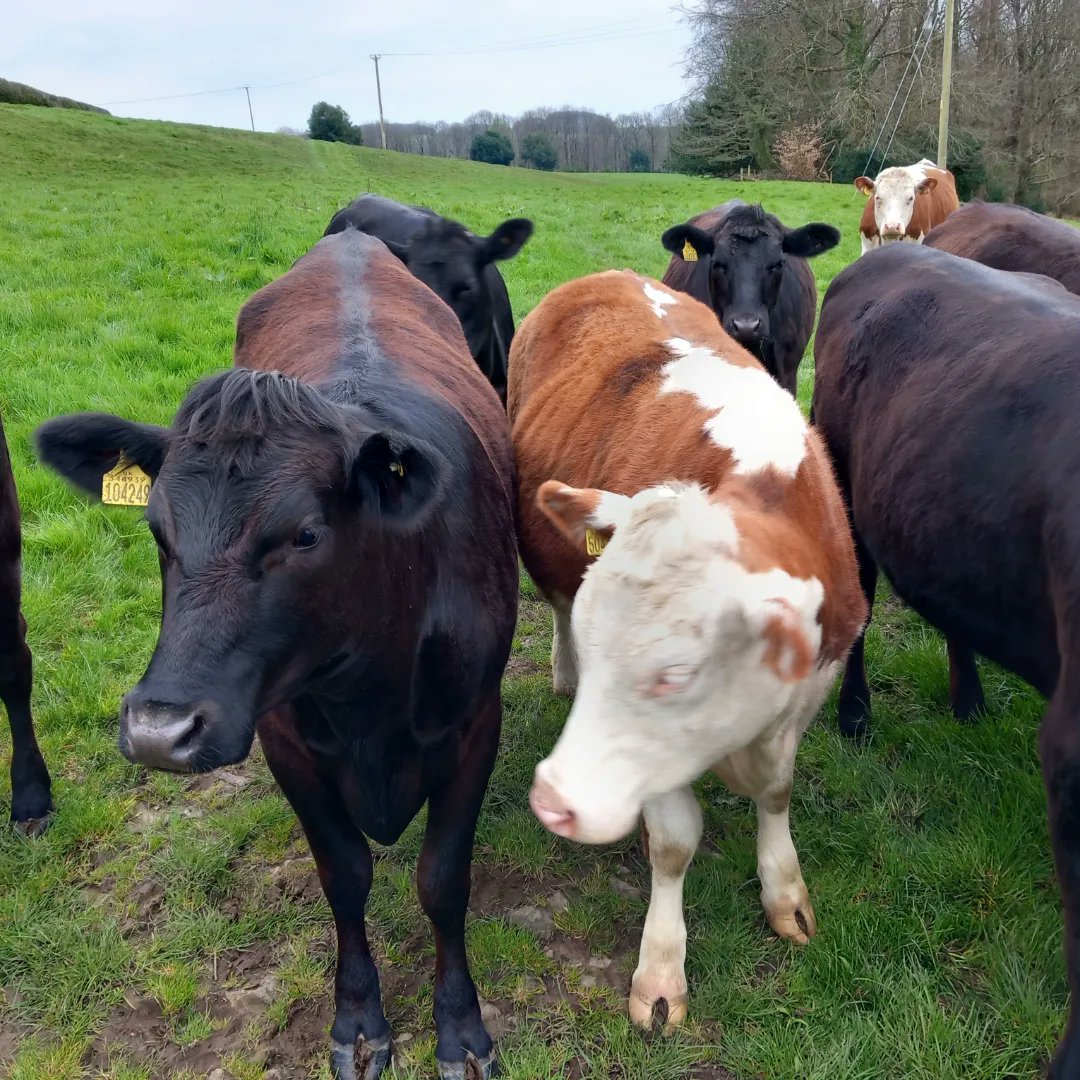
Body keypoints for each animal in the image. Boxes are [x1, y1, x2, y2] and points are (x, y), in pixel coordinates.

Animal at [35, 229, 519, 1080]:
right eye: (156, 530)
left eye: (306, 533)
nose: (159, 731)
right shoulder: (285, 738)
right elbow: (345, 875)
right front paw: (358, 1019)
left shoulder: (472, 724)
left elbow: (442, 879)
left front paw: (461, 1028)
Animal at [508, 269, 866, 1033]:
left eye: (675, 675)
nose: (553, 801)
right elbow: (674, 842)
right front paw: (661, 969)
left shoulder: (809, 693)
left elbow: (777, 792)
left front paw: (784, 892)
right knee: (555, 603)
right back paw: (560, 671)